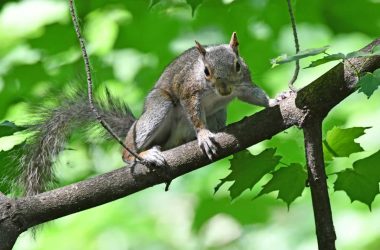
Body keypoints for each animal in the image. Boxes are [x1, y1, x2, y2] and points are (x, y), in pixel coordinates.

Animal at [12, 31, 282, 195]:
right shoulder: (188, 92)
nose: (225, 90)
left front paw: (275, 99)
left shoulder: (243, 83)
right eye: (206, 71)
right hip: (158, 109)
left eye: (237, 65)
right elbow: (195, 114)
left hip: (217, 115)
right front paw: (204, 135)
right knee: (127, 153)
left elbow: (253, 95)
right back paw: (144, 155)